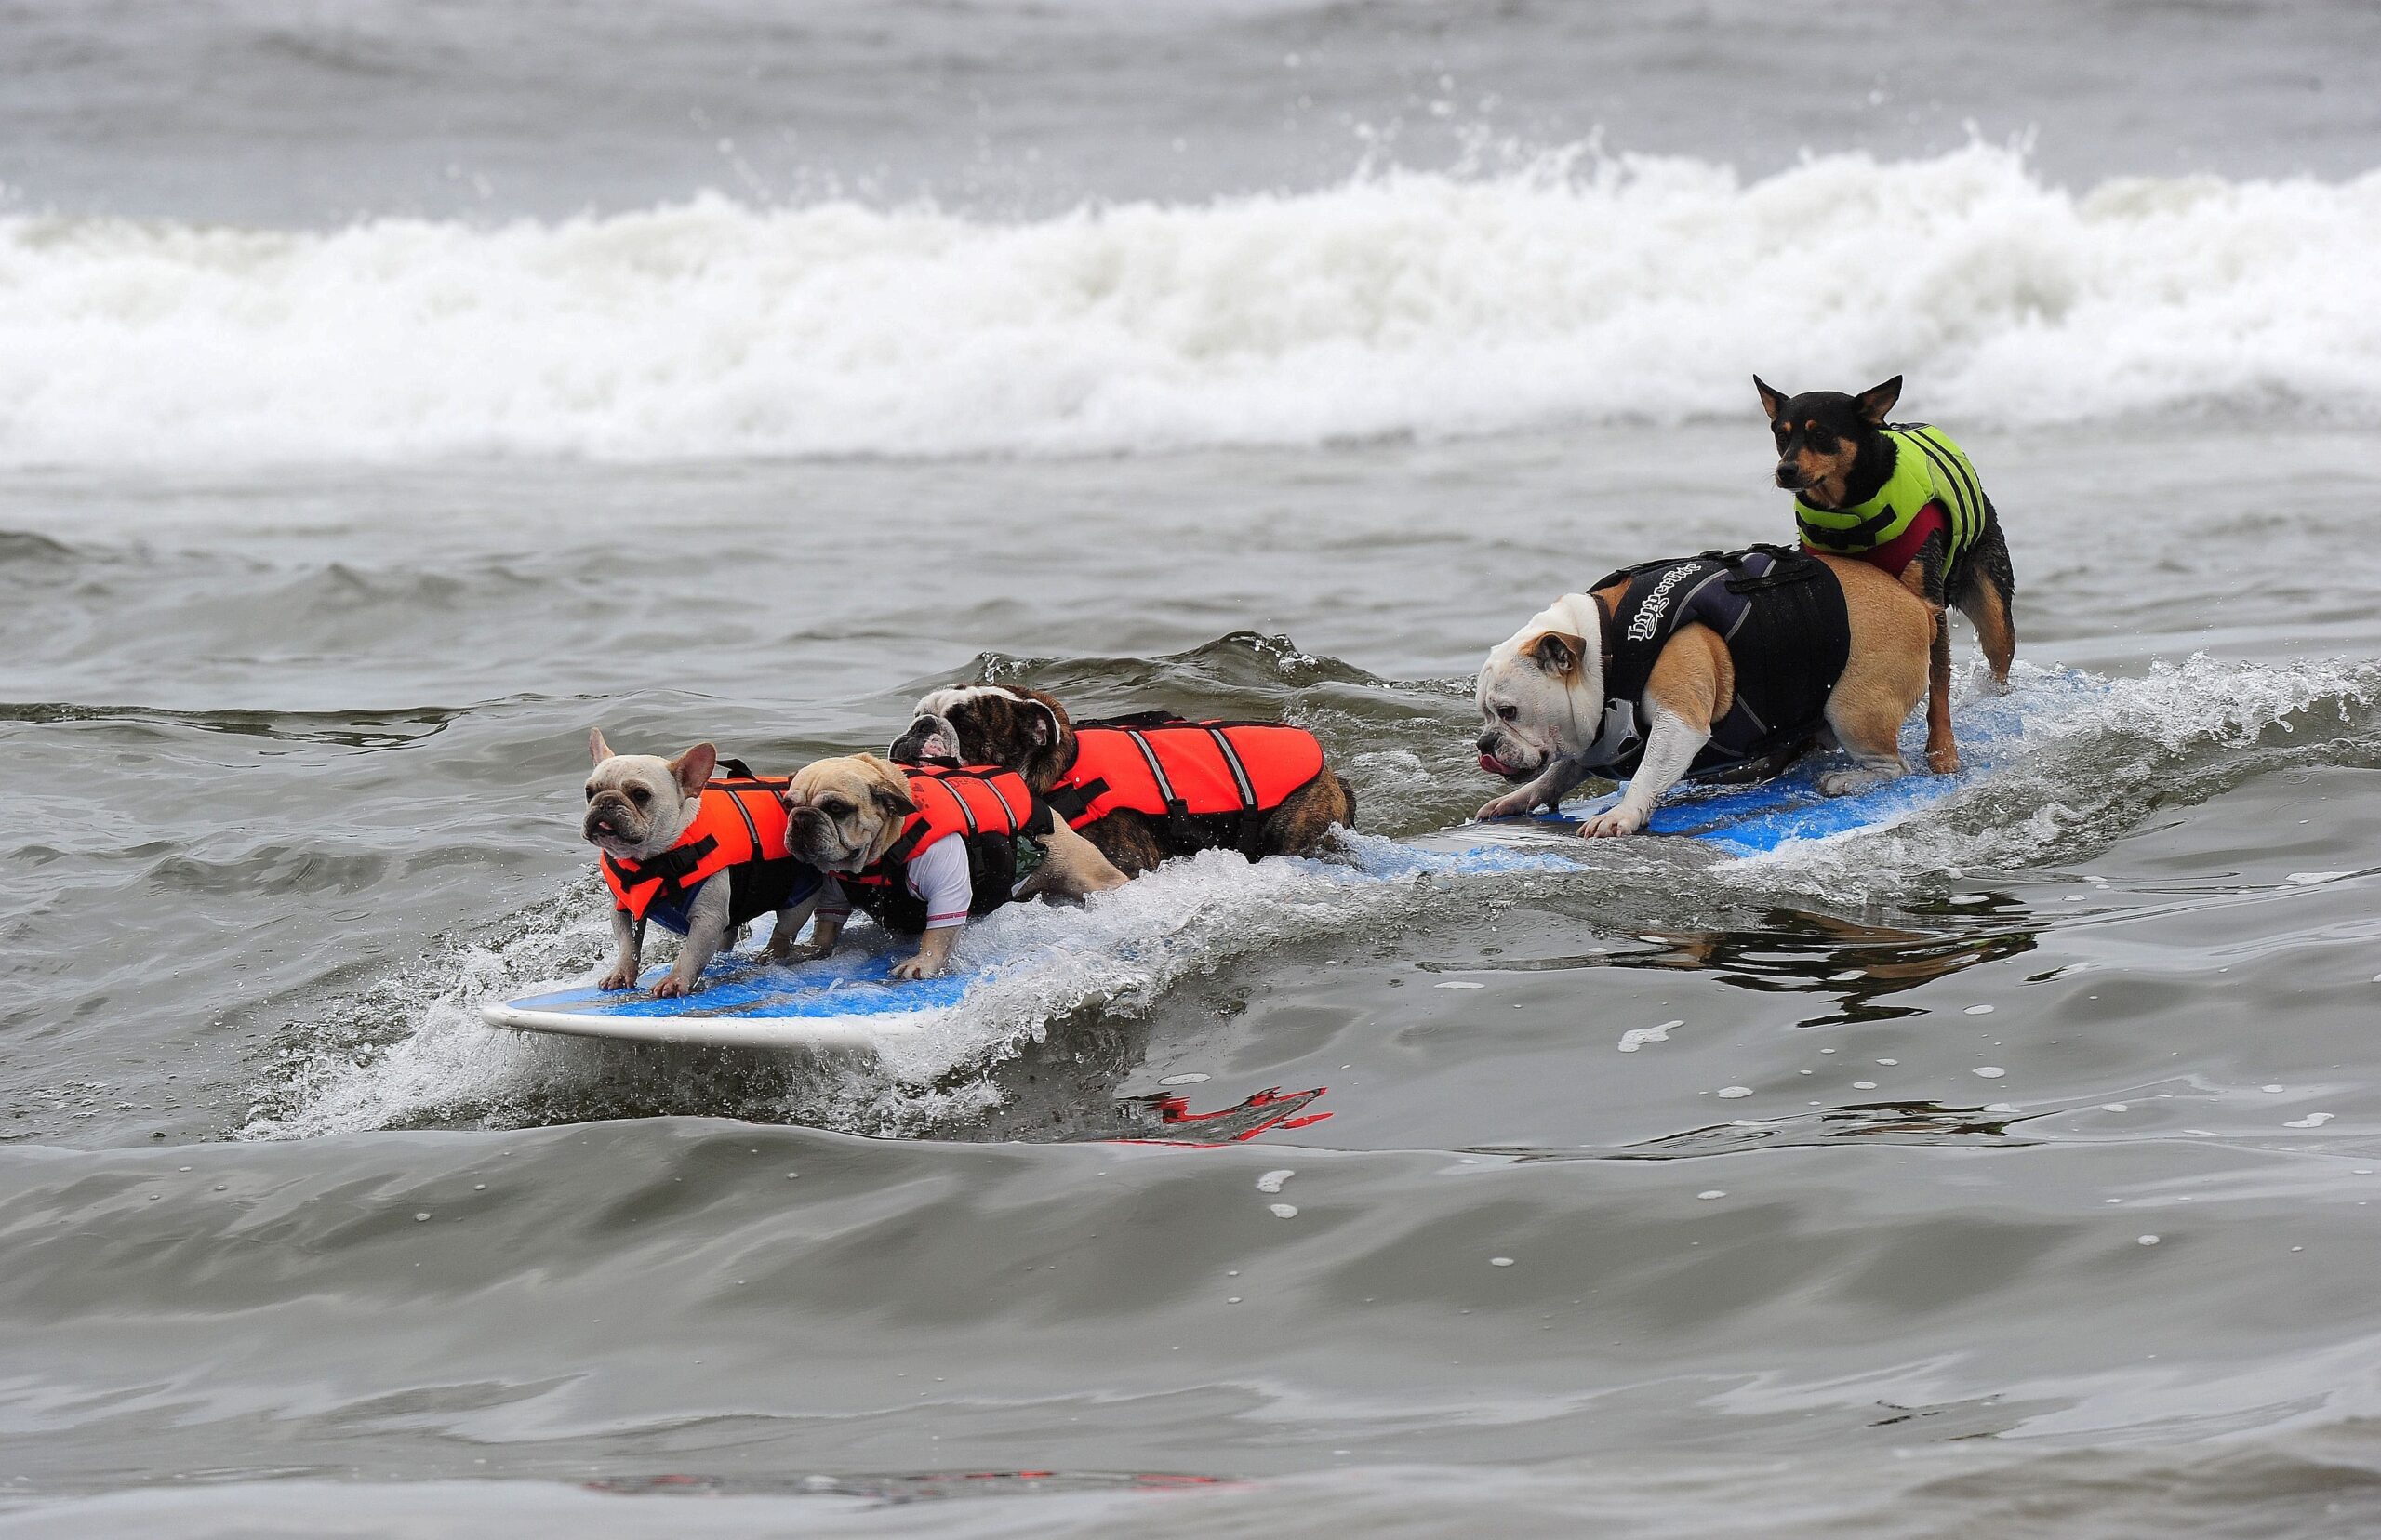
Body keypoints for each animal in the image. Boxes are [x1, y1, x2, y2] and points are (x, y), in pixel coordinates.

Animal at [585, 733, 828, 999]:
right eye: (589, 791)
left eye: (640, 794)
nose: (606, 802)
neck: (651, 861)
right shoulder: (620, 910)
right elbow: (627, 944)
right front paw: (620, 973)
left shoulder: (707, 920)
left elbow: (690, 952)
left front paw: (674, 981)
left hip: (800, 900)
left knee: (784, 930)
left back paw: (772, 953)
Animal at [771, 751, 1124, 980]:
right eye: (788, 804)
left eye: (836, 808)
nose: (801, 819)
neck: (882, 852)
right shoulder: (833, 890)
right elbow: (827, 923)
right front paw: (810, 948)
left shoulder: (946, 882)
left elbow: (938, 931)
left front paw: (923, 963)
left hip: (1080, 871)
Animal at [890, 685, 1352, 881]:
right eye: (916, 714)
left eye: (966, 726)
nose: (922, 725)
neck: (1059, 773)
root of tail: (1330, 770)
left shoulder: (1127, 862)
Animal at [1476, 542, 1942, 832]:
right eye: (1485, 714)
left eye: (1509, 711)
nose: (1484, 743)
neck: (1605, 650)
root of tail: (1919, 606)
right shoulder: (1591, 736)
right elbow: (1559, 772)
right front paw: (1522, 798)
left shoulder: (1679, 723)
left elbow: (1647, 771)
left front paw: (1623, 814)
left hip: (1853, 710)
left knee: (1893, 767)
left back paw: (1848, 780)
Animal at [1762, 376, 2018, 771]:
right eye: (1780, 434)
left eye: (1820, 434)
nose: (1785, 470)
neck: (1849, 511)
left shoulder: (1930, 603)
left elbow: (1938, 684)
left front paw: (1943, 752)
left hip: (1992, 598)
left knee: (1999, 652)